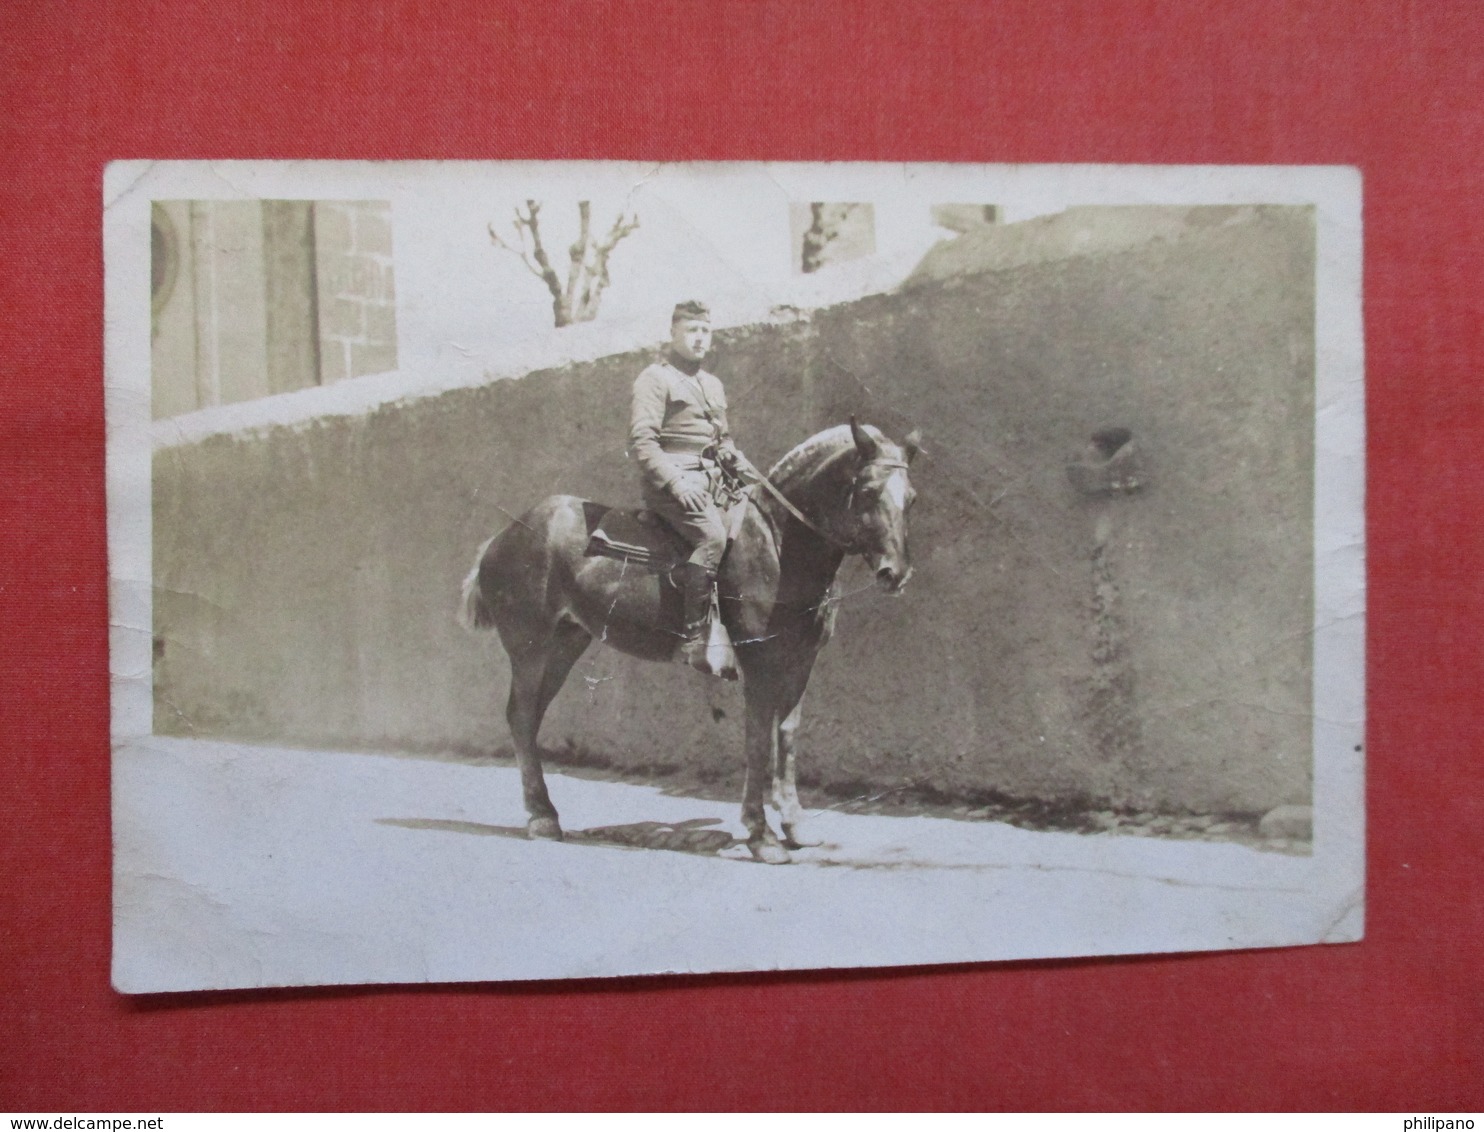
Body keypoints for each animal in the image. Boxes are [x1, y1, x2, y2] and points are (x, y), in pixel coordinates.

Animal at [457, 418, 914, 866]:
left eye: (910, 497)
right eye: (867, 491)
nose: (896, 573)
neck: (778, 543)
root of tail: (503, 536)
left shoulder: (800, 662)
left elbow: (787, 737)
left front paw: (795, 826)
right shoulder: (758, 661)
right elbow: (757, 741)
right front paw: (761, 835)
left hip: (564, 646)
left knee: (530, 718)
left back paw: (544, 813)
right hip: (530, 648)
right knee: (520, 717)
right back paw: (541, 817)